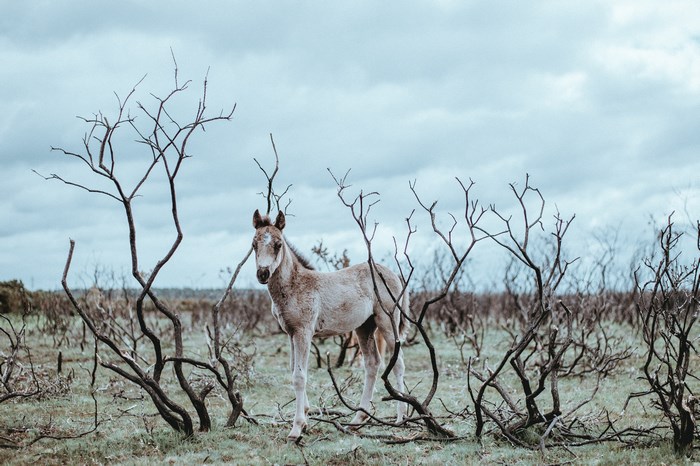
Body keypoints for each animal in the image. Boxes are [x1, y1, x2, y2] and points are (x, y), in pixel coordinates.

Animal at [252, 209, 410, 442]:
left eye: (278, 244)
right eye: (254, 244)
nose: (262, 274)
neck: (294, 285)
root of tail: (393, 274)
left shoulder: (303, 332)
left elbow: (299, 376)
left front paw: (296, 428)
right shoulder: (290, 333)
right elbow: (293, 369)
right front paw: (305, 415)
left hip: (387, 322)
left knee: (397, 363)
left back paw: (400, 418)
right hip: (364, 327)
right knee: (372, 363)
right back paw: (358, 419)